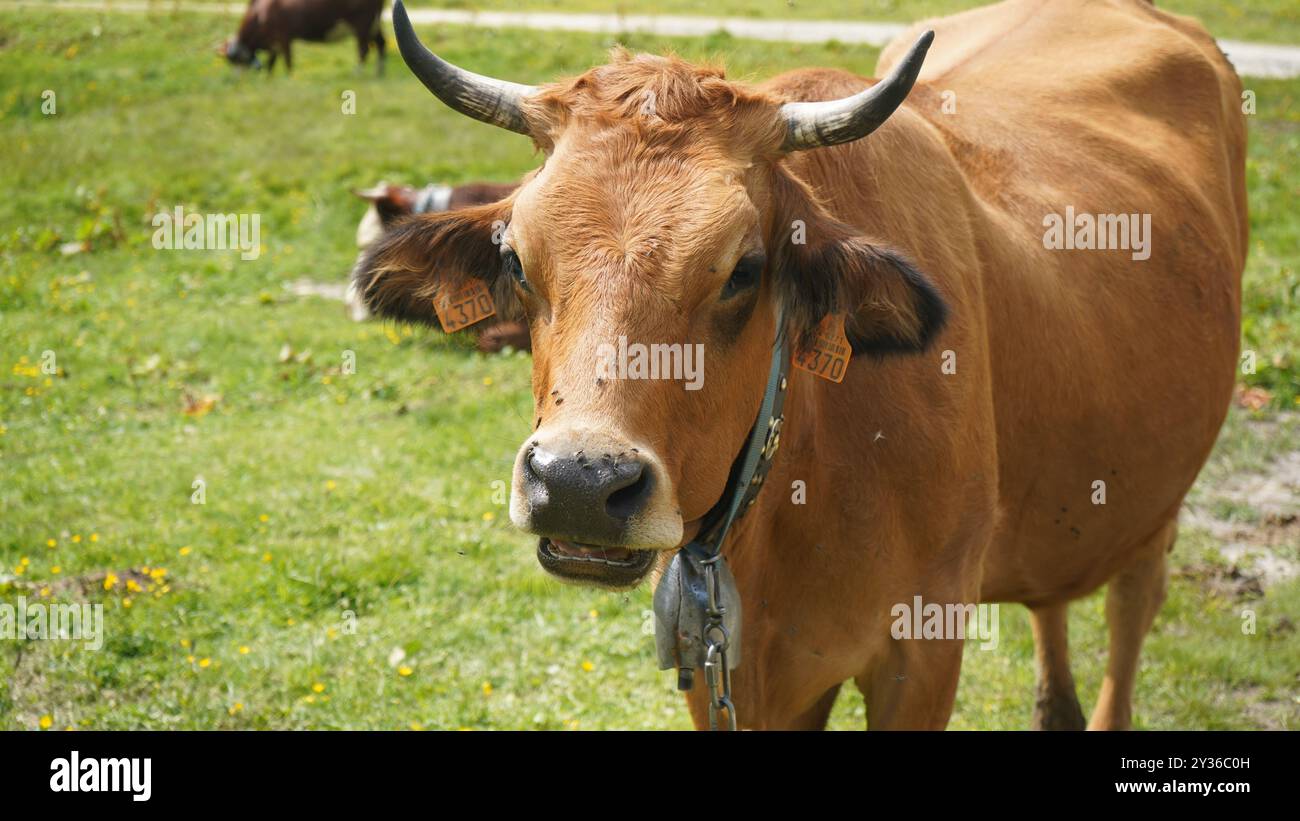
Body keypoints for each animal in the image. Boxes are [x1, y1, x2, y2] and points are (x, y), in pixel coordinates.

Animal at [224, 0, 384, 74]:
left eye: (236, 59)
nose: (237, 80)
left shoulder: (284, 36)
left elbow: (288, 61)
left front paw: (289, 79)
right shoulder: (273, 42)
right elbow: (271, 63)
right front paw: (269, 79)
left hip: (363, 24)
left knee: (363, 50)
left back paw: (358, 73)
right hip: (374, 25)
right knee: (381, 43)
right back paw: (379, 73)